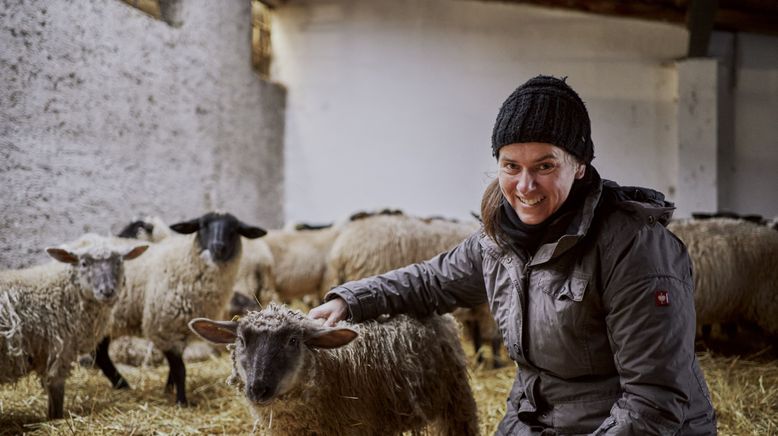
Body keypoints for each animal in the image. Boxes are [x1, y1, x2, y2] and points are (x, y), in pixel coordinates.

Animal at [0, 235, 147, 418]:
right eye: (84, 263)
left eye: (119, 262)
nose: (107, 291)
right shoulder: (60, 349)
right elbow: (56, 389)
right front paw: (56, 418)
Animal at [94, 211, 266, 406]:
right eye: (203, 225)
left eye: (234, 229)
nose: (218, 247)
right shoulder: (164, 326)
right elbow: (180, 369)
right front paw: (181, 401)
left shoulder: (181, 329)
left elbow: (174, 368)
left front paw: (169, 390)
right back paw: (122, 384)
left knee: (101, 355)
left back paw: (122, 385)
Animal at [322, 213, 504, 366]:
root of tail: (341, 253)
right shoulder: (485, 307)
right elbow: (491, 336)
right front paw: (496, 364)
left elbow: (478, 336)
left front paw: (481, 360)